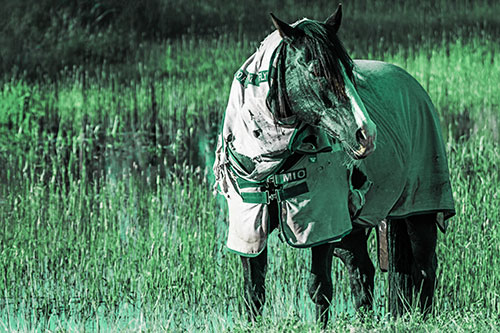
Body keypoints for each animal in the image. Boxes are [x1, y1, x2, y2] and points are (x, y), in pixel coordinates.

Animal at [213, 4, 456, 326]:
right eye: (317, 70)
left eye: (350, 70)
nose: (366, 134)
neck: (273, 161)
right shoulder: (251, 226)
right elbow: (254, 292)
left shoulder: (322, 225)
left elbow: (319, 288)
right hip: (353, 229)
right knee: (362, 271)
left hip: (419, 212)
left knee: (425, 268)